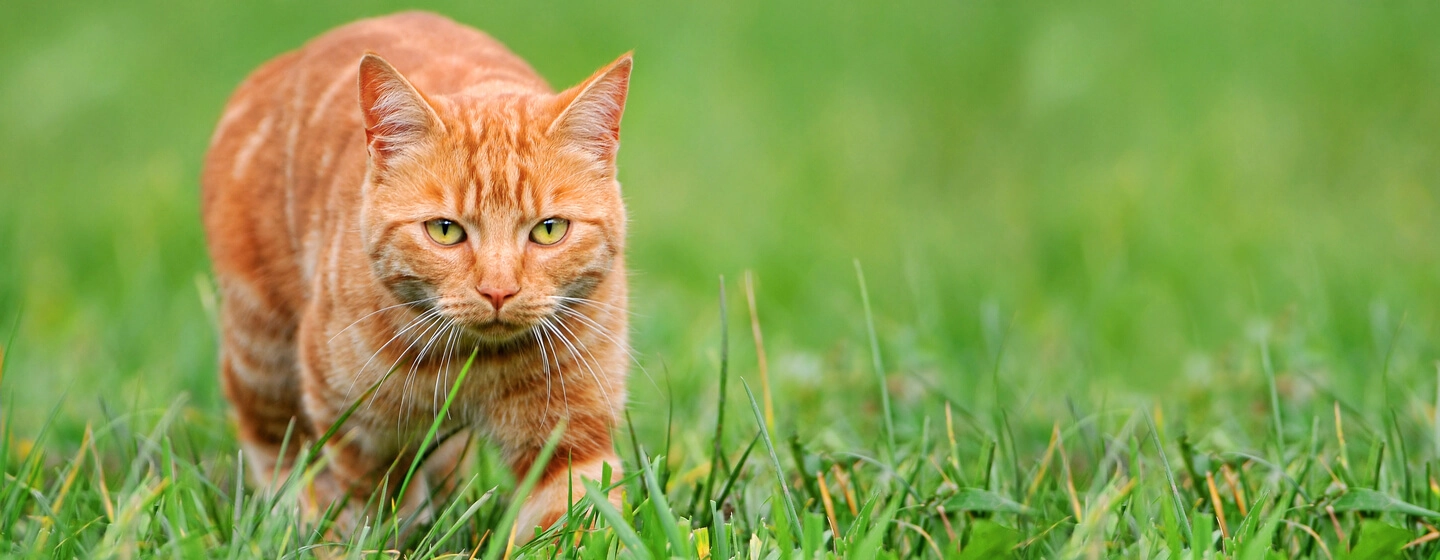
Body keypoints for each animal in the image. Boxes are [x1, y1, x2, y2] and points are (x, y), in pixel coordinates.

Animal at [201, 10, 630, 535]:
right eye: (445, 231)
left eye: (549, 230)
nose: (498, 291)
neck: (478, 364)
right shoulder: (360, 431)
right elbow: (376, 511)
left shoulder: (572, 436)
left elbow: (573, 520)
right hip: (260, 351)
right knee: (274, 445)